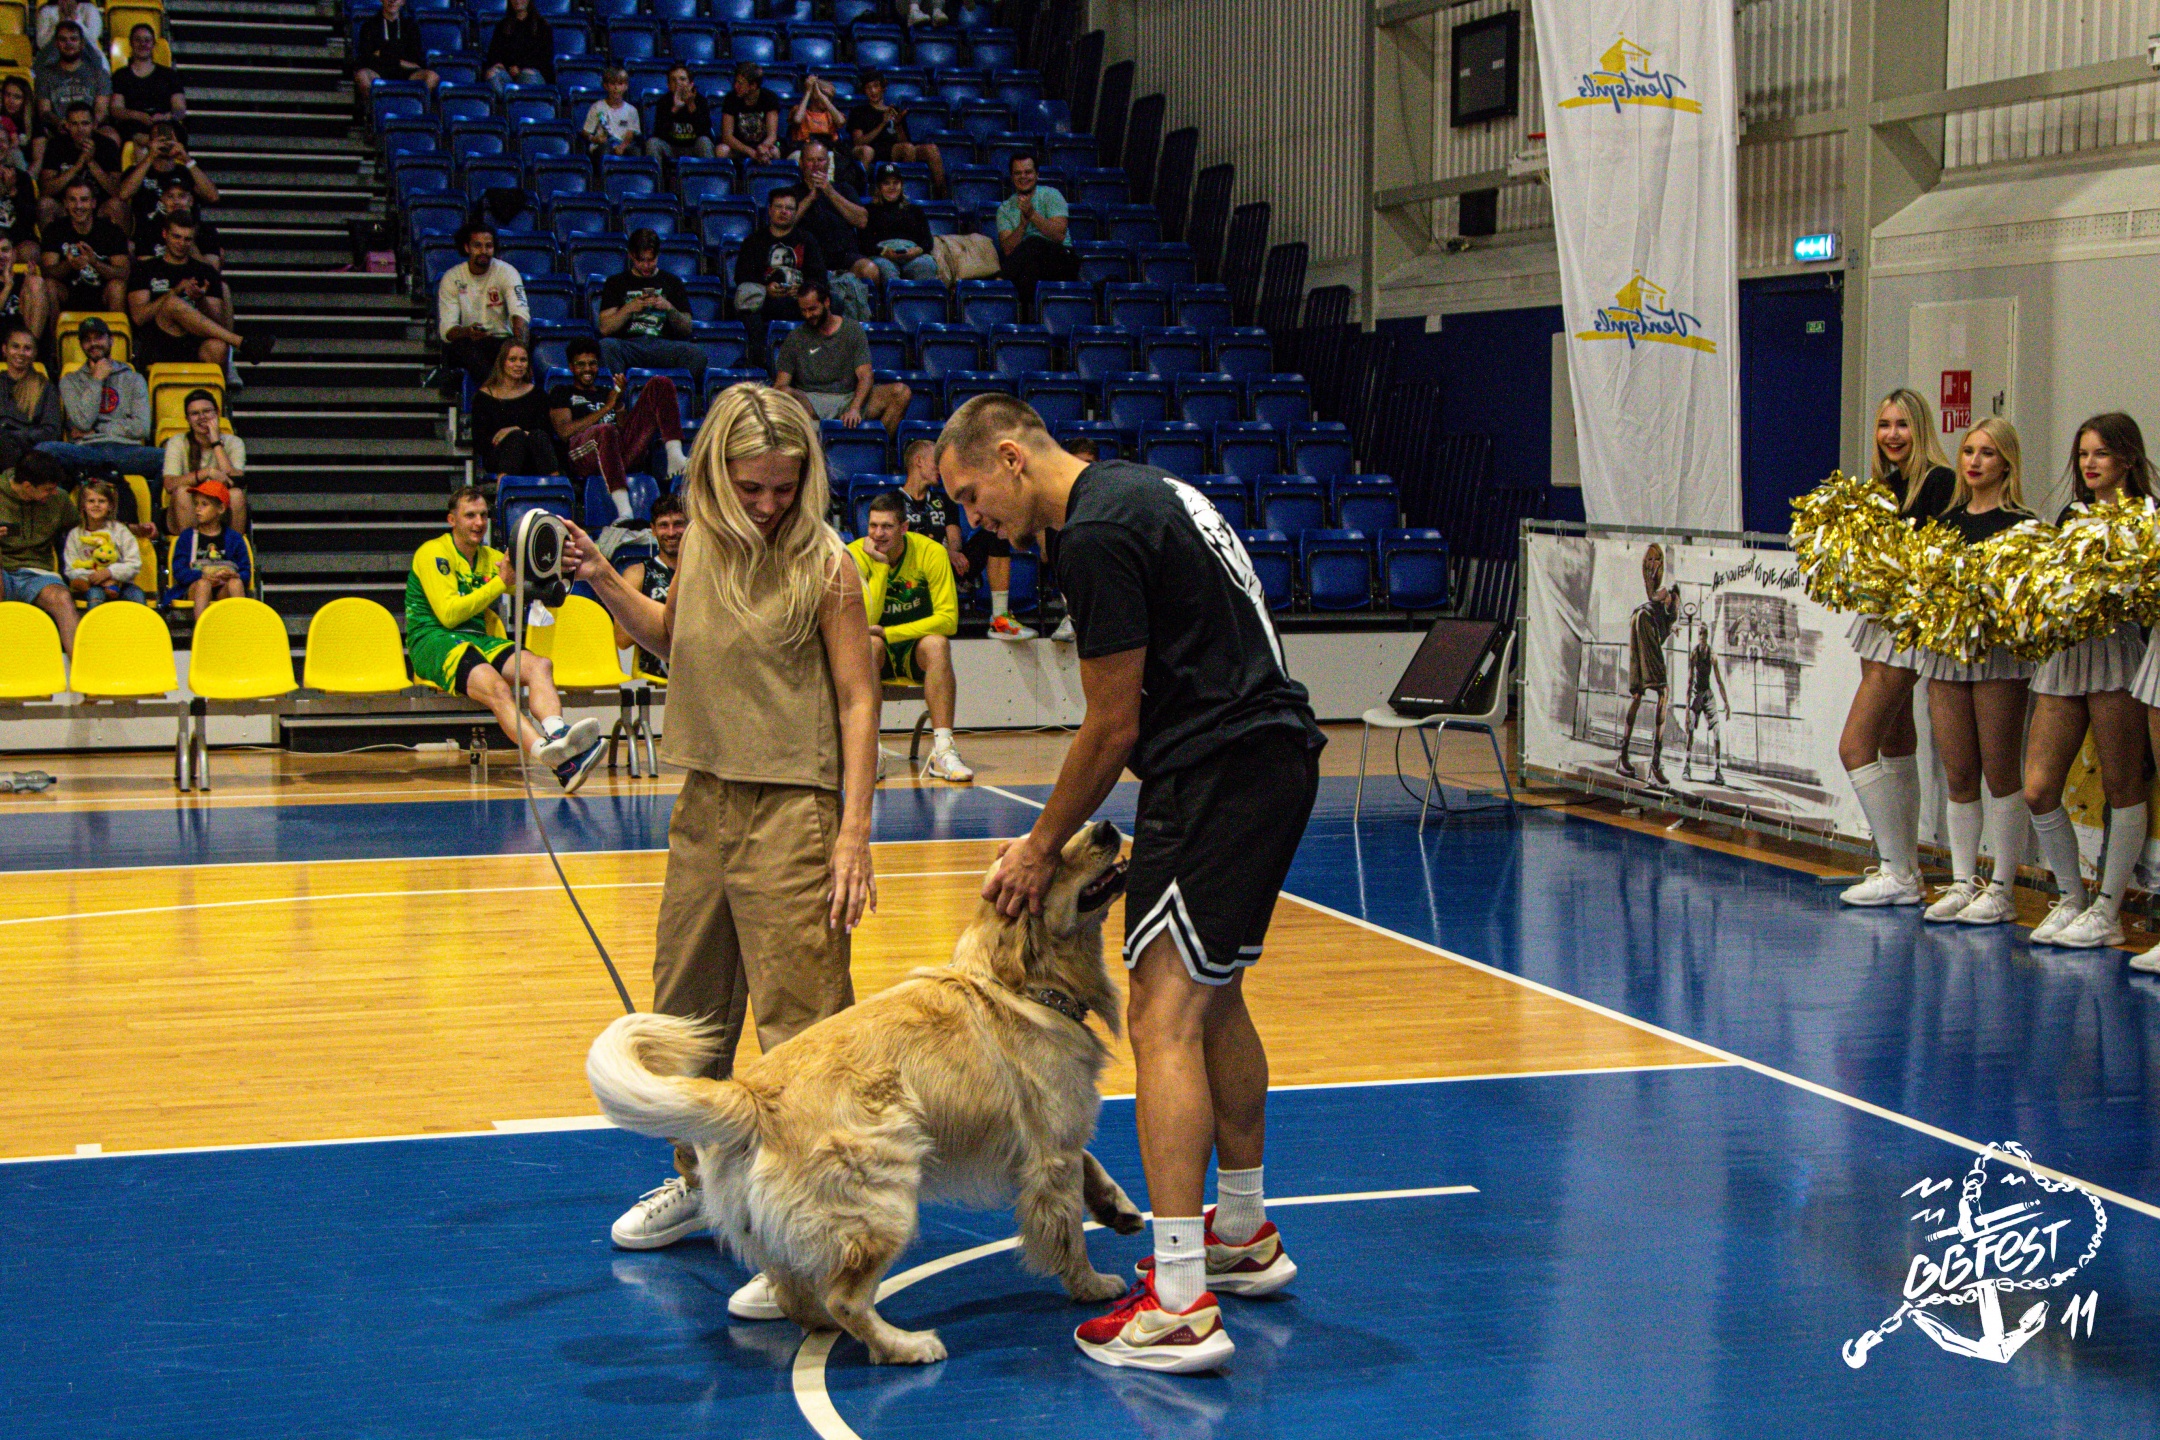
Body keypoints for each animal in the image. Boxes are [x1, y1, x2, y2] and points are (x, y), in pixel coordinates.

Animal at [586, 818, 1145, 1364]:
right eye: (1056, 856)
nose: (1107, 827)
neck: (1021, 984)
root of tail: (749, 1095)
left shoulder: (1051, 1140)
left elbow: (1091, 1163)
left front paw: (1116, 1205)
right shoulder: (1051, 1151)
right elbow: (1068, 1230)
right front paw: (1092, 1284)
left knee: (798, 1297)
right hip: (883, 1205)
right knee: (845, 1299)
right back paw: (905, 1346)